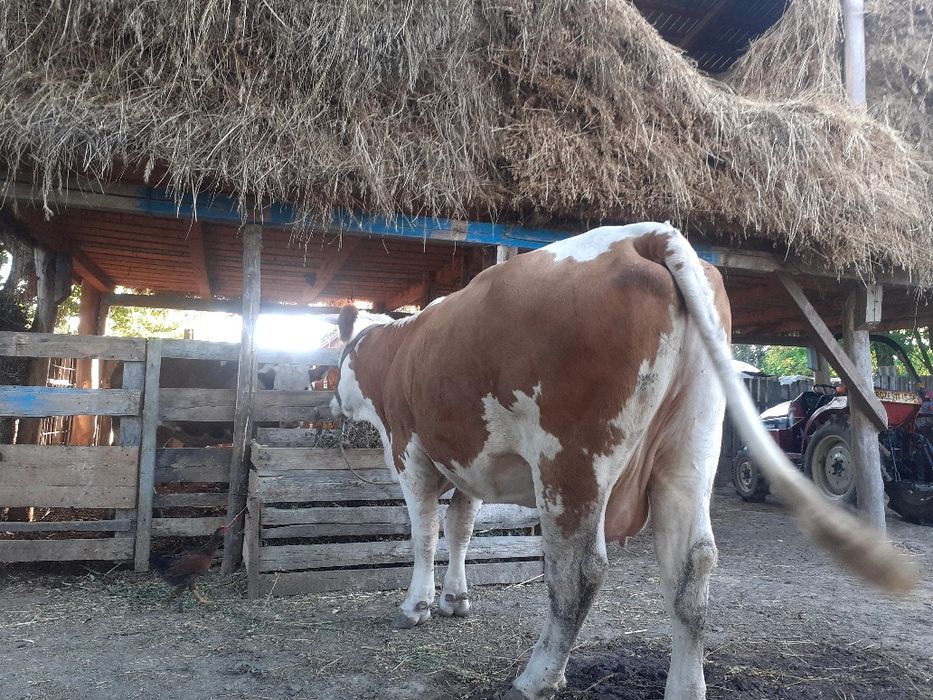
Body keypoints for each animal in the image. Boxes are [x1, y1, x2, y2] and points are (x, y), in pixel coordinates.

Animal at [329, 223, 917, 700]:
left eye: (337, 362)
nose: (331, 402)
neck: (395, 352)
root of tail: (645, 235)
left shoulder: (410, 452)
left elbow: (426, 534)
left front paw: (418, 606)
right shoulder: (466, 462)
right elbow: (461, 531)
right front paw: (455, 599)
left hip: (571, 461)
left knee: (578, 573)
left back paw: (538, 678)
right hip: (689, 450)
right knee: (692, 568)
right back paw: (685, 687)